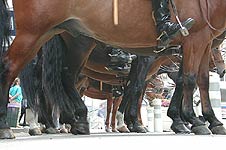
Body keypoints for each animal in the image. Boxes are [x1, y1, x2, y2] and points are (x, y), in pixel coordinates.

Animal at [0, 0, 226, 138]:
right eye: (218, 50)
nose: (222, 70)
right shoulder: (190, 41)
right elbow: (186, 79)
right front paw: (191, 120)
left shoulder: (203, 40)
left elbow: (202, 81)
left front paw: (212, 120)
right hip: (33, 33)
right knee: (12, 71)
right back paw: (11, 125)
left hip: (68, 39)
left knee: (64, 78)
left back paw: (75, 120)